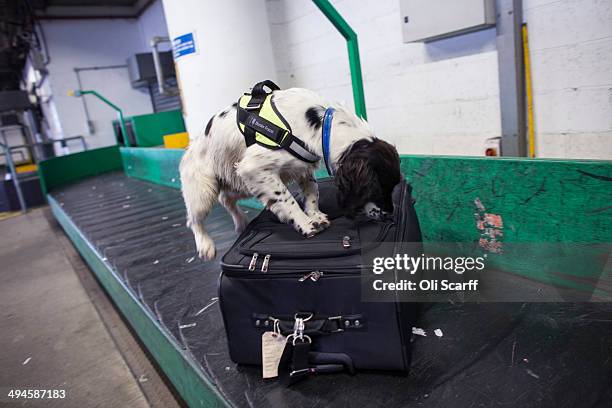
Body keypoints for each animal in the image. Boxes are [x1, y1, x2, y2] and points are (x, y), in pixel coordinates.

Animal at [180, 87, 402, 260]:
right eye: (376, 189)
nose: (391, 214)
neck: (320, 124)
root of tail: (191, 146)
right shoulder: (254, 168)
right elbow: (286, 199)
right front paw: (305, 223)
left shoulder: (302, 166)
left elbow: (312, 192)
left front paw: (314, 215)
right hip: (205, 190)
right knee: (194, 219)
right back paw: (205, 245)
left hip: (240, 184)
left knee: (226, 198)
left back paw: (241, 222)